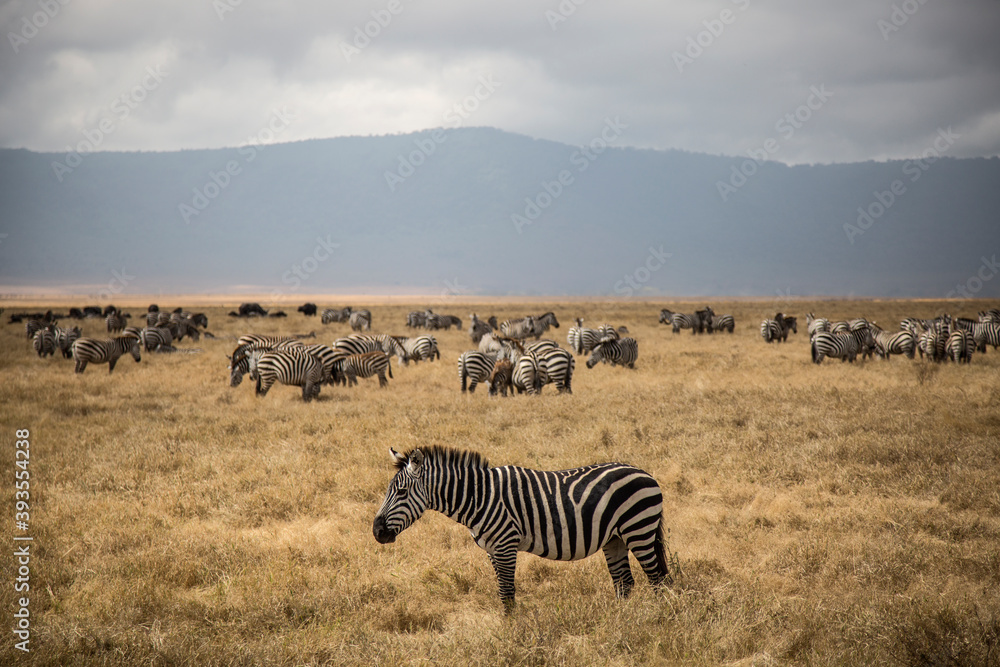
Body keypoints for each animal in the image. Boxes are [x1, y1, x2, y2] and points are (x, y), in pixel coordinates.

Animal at [372, 447, 672, 610]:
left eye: (400, 492)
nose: (376, 532)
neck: (479, 496)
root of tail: (645, 473)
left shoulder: (505, 545)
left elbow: (507, 592)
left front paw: (511, 632)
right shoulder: (492, 550)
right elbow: (503, 591)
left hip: (639, 529)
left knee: (657, 578)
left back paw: (657, 619)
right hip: (614, 538)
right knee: (625, 582)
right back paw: (621, 620)